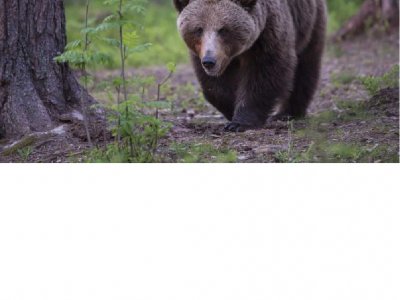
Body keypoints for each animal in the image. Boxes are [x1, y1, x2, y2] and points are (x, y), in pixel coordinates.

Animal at [173, 0, 326, 132]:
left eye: (223, 30)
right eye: (198, 29)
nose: (209, 61)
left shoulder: (268, 34)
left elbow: (265, 75)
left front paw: (239, 123)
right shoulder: (202, 55)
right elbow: (216, 86)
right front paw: (231, 108)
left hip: (308, 21)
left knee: (305, 67)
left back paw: (287, 113)